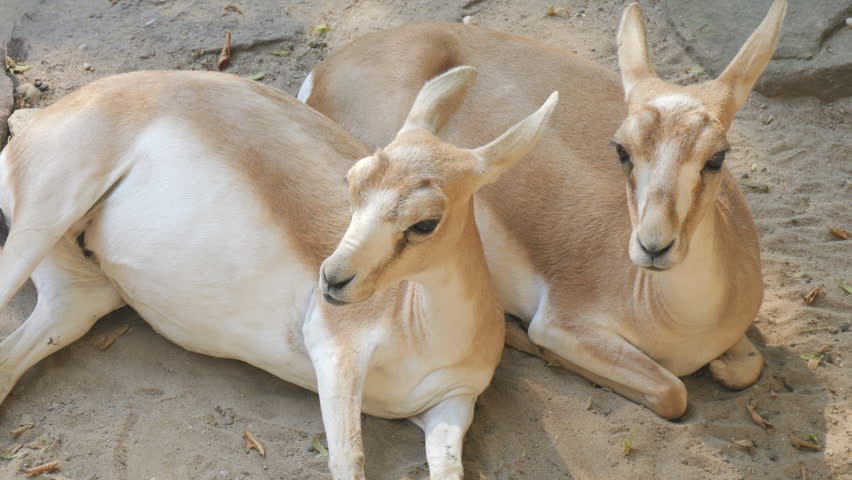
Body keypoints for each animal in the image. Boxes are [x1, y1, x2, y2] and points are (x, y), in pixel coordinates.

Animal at [0, 67, 558, 478]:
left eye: (425, 221)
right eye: (353, 180)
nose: (332, 278)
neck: (417, 325)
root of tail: (44, 115)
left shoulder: (451, 406)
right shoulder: (336, 350)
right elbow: (348, 459)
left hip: (80, 299)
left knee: (15, 356)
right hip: (39, 226)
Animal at [300, 0, 787, 419]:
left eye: (717, 156)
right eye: (622, 150)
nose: (653, 247)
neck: (677, 317)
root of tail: (332, 65)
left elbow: (748, 365)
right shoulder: (564, 325)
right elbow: (672, 391)